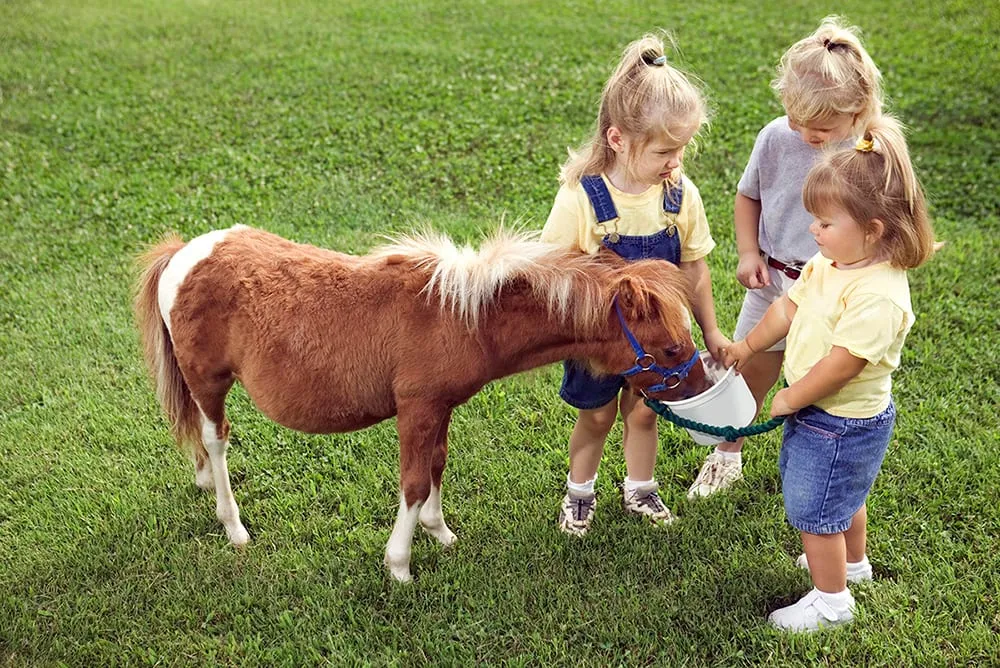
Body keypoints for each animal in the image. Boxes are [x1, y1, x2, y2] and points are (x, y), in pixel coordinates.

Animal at [134, 224, 710, 582]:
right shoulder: (416, 409)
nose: (703, 388)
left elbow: (436, 465)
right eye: (671, 348)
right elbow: (412, 482)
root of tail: (184, 253)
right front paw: (400, 564)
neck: (460, 316)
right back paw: (233, 526)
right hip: (209, 382)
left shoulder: (440, 409)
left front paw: (441, 533)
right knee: (216, 440)